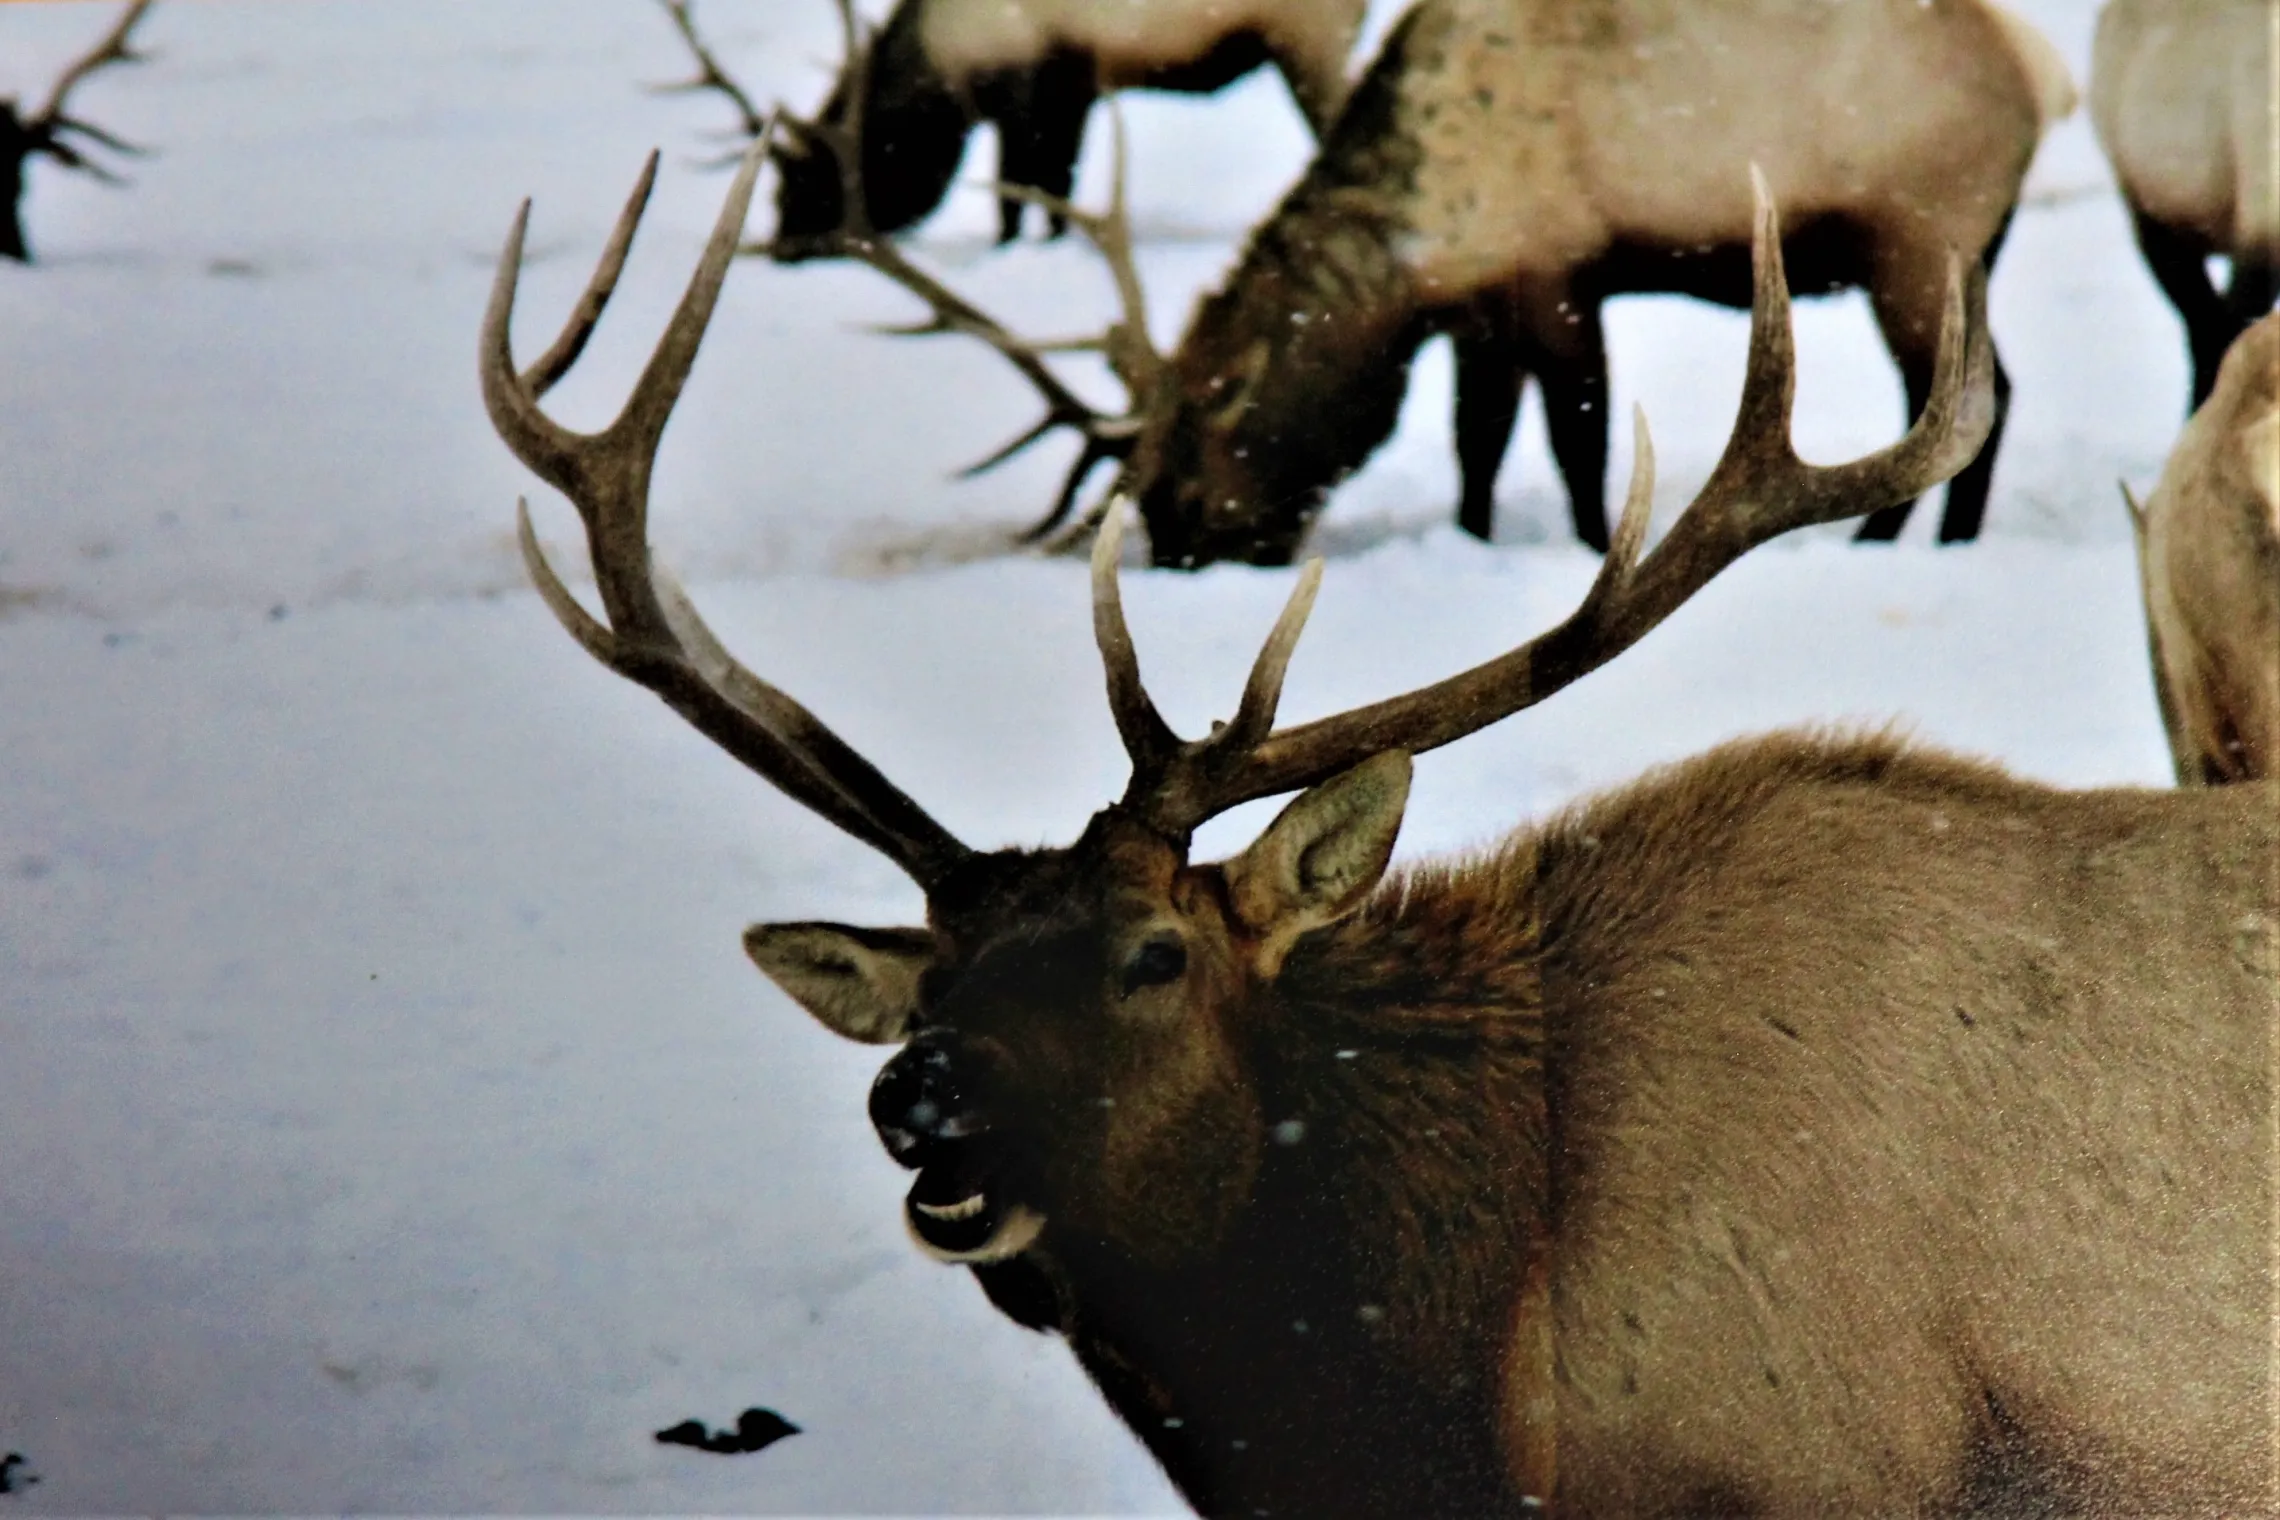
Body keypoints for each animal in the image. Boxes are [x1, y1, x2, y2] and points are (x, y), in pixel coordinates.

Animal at [655, 0, 1365, 255]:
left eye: (807, 186)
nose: (781, 247)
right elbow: (1053, 189)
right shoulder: (1073, 93)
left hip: (1309, 40)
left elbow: (1022, 190)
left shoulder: (1038, 89)